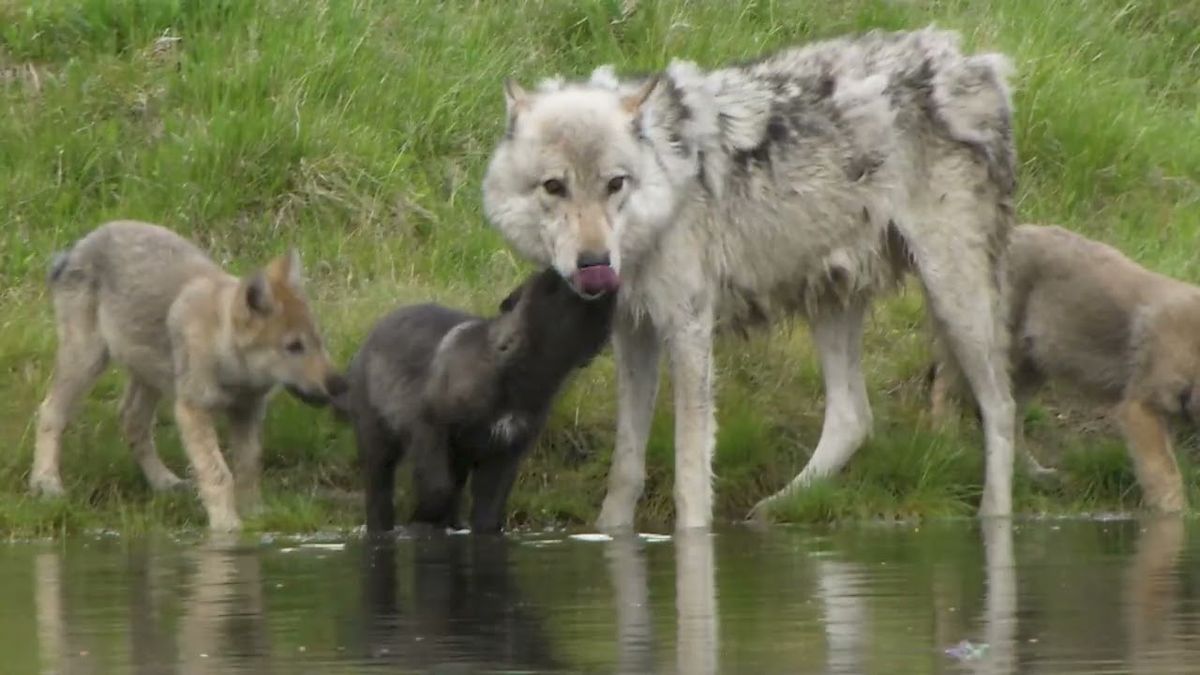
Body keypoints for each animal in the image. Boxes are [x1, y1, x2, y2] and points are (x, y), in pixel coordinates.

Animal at [30, 220, 348, 530]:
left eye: (319, 341)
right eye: (293, 346)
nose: (339, 384)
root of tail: (77, 247)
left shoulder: (247, 412)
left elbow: (248, 467)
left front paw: (255, 515)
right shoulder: (192, 410)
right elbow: (218, 473)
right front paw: (227, 526)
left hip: (149, 375)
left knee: (132, 420)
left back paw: (164, 482)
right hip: (87, 359)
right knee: (51, 411)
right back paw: (46, 483)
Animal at [482, 26, 1017, 528]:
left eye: (615, 184)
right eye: (554, 187)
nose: (594, 263)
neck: (668, 181)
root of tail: (974, 65)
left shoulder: (688, 328)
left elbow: (690, 470)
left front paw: (694, 541)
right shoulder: (633, 332)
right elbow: (626, 466)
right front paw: (611, 534)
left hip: (953, 297)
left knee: (1001, 408)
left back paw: (995, 518)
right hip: (832, 297)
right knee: (853, 418)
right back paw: (776, 508)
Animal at [931, 223, 1200, 511]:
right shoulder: (1140, 409)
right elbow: (1167, 479)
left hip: (1031, 370)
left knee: (1007, 422)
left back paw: (1035, 474)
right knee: (944, 387)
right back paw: (944, 444)